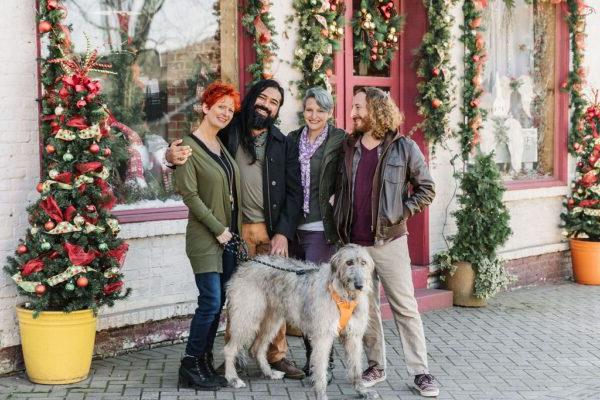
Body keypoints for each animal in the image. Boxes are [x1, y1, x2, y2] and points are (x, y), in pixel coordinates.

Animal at [223, 244, 378, 400]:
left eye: (363, 262)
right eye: (349, 262)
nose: (359, 285)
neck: (344, 295)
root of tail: (245, 264)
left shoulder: (354, 337)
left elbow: (356, 368)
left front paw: (362, 390)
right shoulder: (323, 337)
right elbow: (320, 370)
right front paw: (321, 394)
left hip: (272, 321)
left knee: (257, 348)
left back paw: (269, 373)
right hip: (246, 318)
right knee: (229, 349)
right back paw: (233, 378)